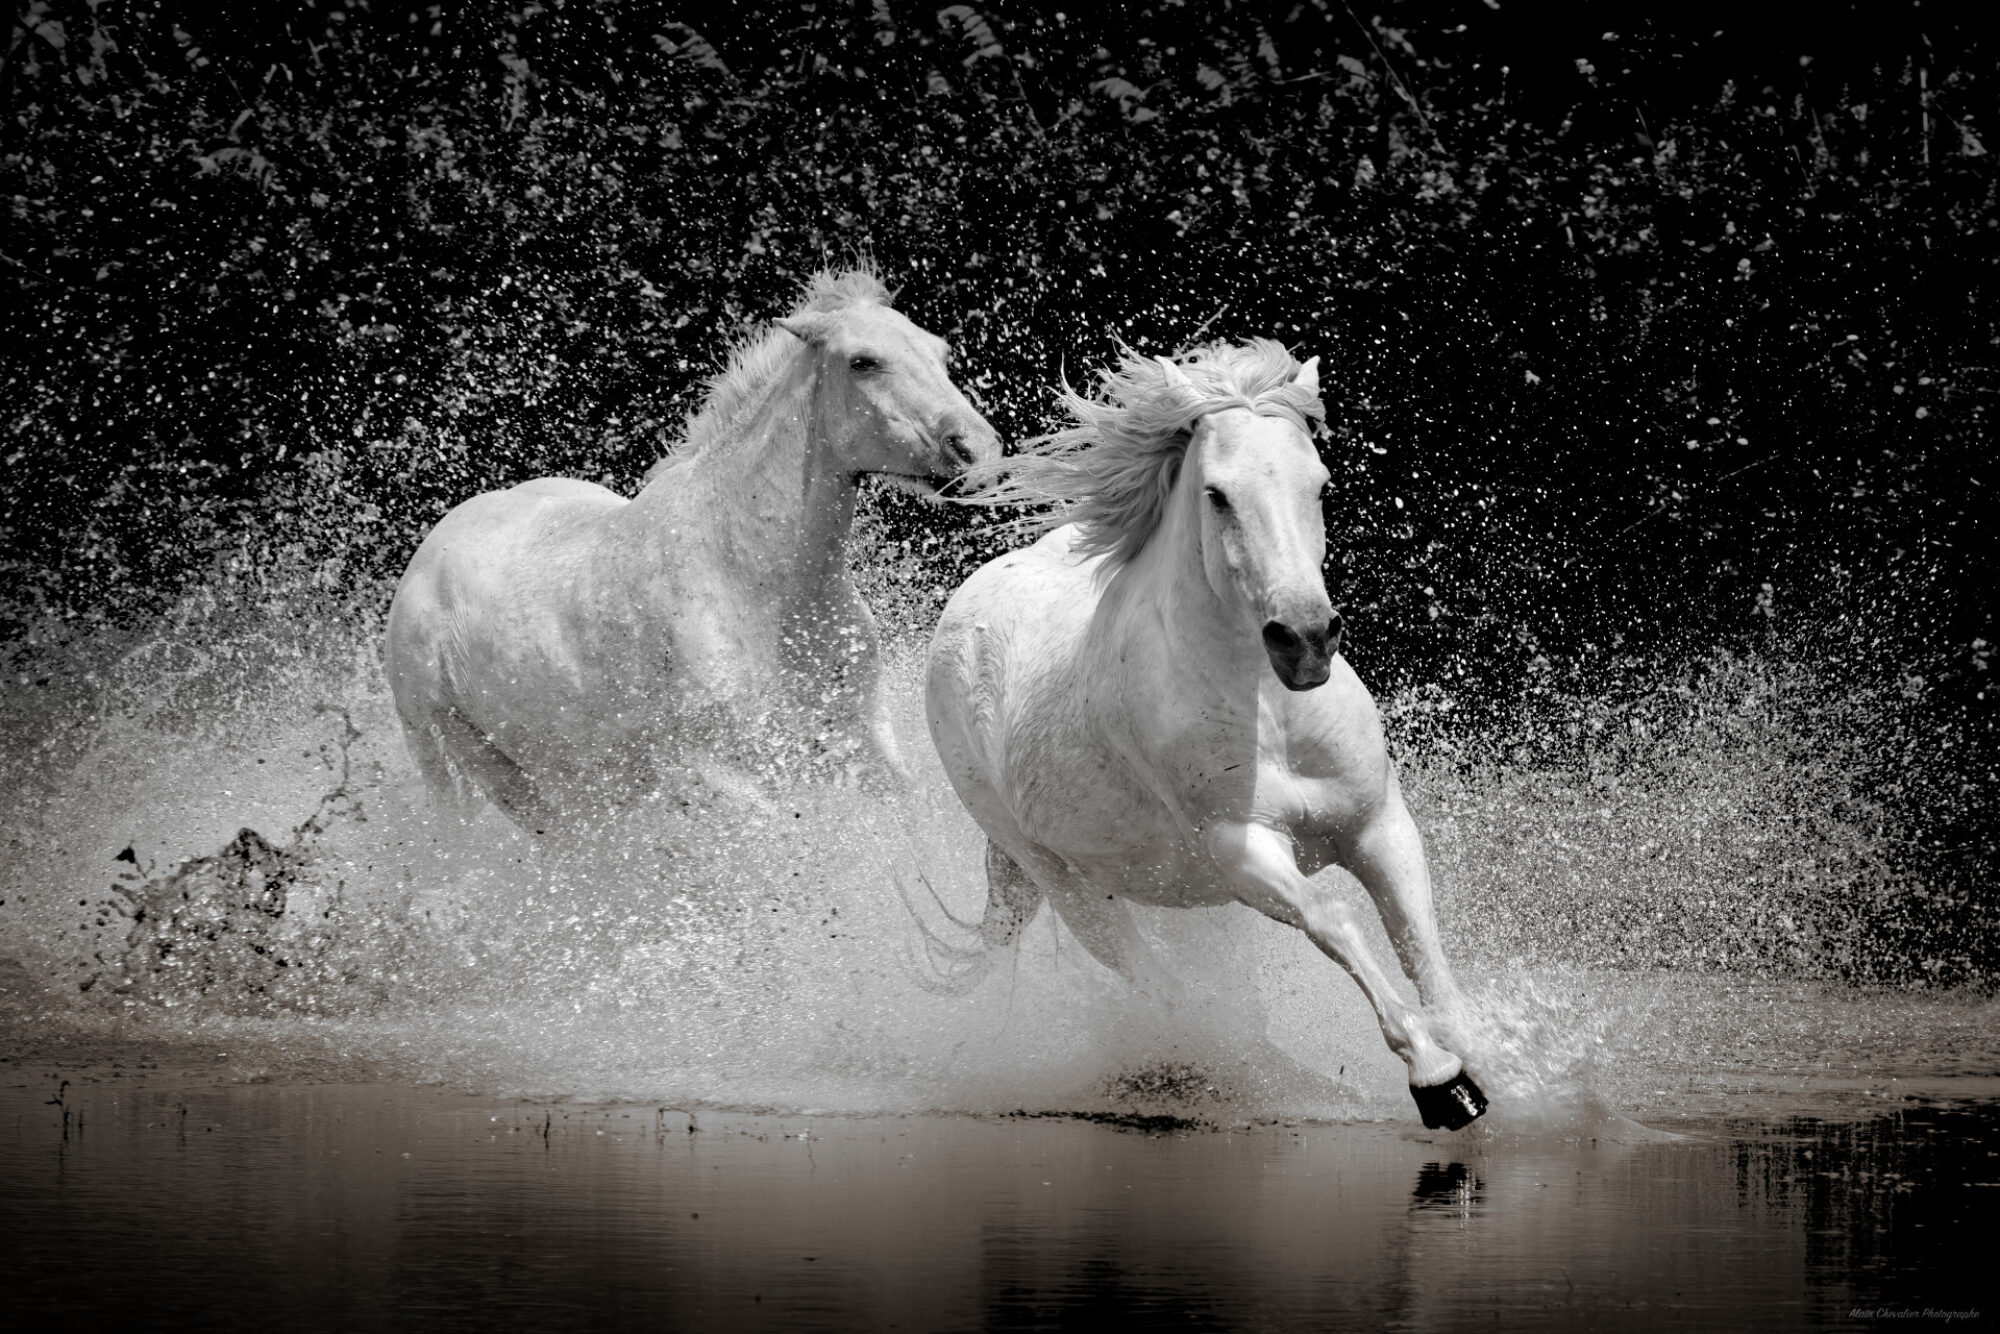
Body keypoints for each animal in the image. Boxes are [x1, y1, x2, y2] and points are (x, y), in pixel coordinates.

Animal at [386, 268, 1000, 827]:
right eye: (863, 361)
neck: (759, 586)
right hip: (473, 768)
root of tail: (431, 552)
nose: (977, 451)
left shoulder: (858, 741)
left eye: (940, 353)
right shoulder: (720, 774)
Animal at [924, 339, 1487, 1130]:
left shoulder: (1379, 824)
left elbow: (1419, 942)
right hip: (1063, 882)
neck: (1270, 714)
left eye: (1321, 485)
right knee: (1164, 991)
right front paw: (1438, 1079)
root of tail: (965, 608)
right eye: (1217, 494)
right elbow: (1335, 920)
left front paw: (1502, 1070)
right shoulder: (1240, 847)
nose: (1304, 640)